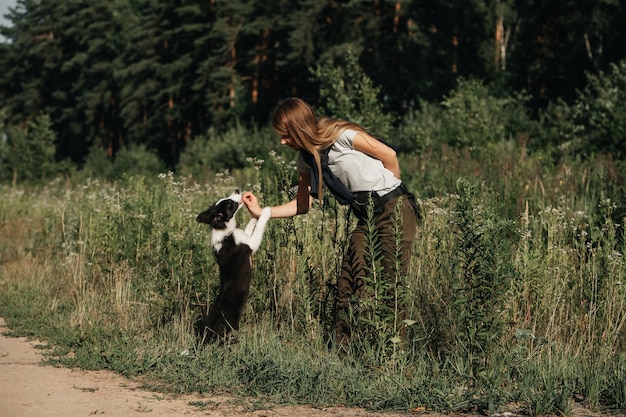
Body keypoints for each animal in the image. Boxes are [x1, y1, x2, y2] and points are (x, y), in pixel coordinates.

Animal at [195, 188, 270, 342]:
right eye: (229, 204)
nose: (237, 190)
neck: (224, 230)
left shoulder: (245, 237)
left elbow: (249, 227)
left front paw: (254, 215)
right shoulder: (250, 245)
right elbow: (259, 227)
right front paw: (266, 211)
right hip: (230, 329)